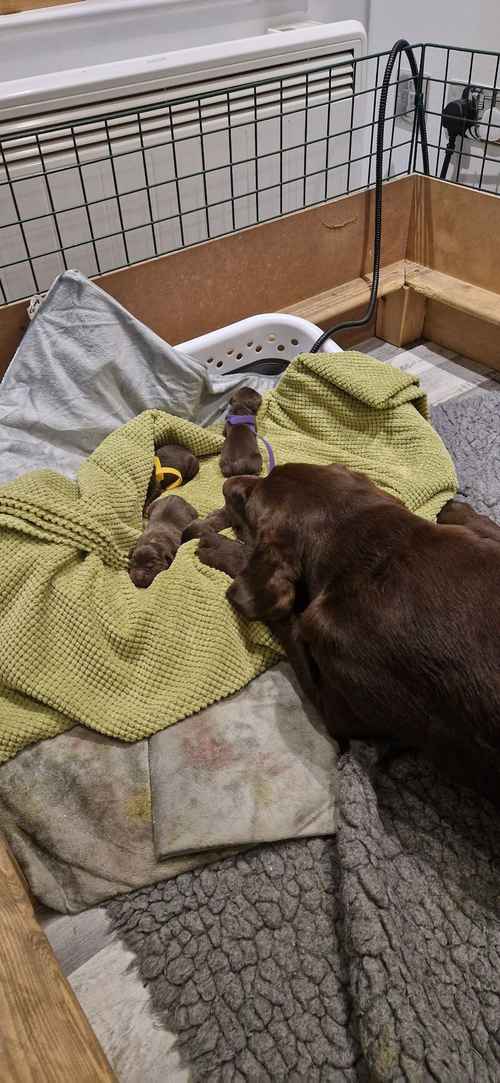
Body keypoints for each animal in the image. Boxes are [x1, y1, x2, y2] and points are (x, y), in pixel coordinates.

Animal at [196, 465, 500, 797]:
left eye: (247, 500)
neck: (379, 550)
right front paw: (454, 508)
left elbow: (286, 618)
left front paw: (219, 547)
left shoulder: (335, 711)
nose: (227, 484)